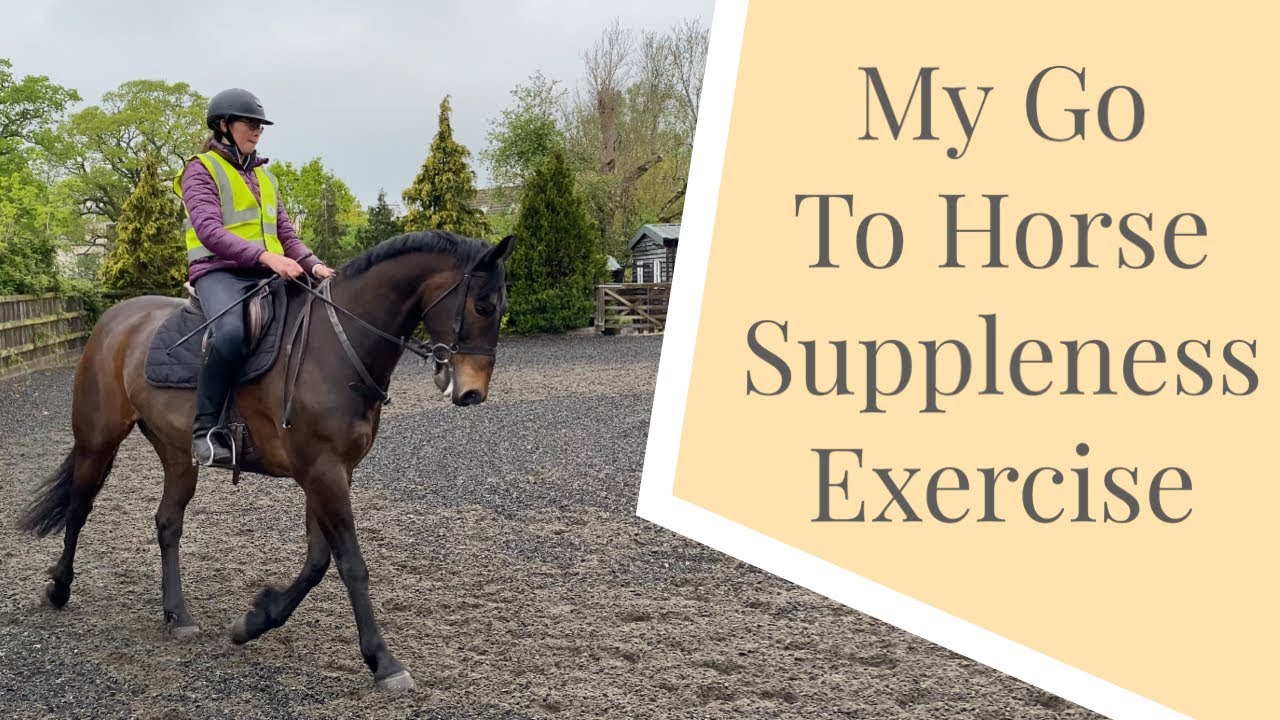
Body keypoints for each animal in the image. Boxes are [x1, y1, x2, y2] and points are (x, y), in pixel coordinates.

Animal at [16, 230, 515, 692]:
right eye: (483, 307)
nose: (472, 393)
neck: (336, 348)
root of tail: (115, 318)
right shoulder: (322, 471)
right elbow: (351, 563)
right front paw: (383, 662)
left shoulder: (332, 472)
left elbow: (317, 560)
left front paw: (254, 621)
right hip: (97, 440)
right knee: (79, 509)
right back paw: (59, 588)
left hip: (177, 453)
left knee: (167, 523)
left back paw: (177, 615)